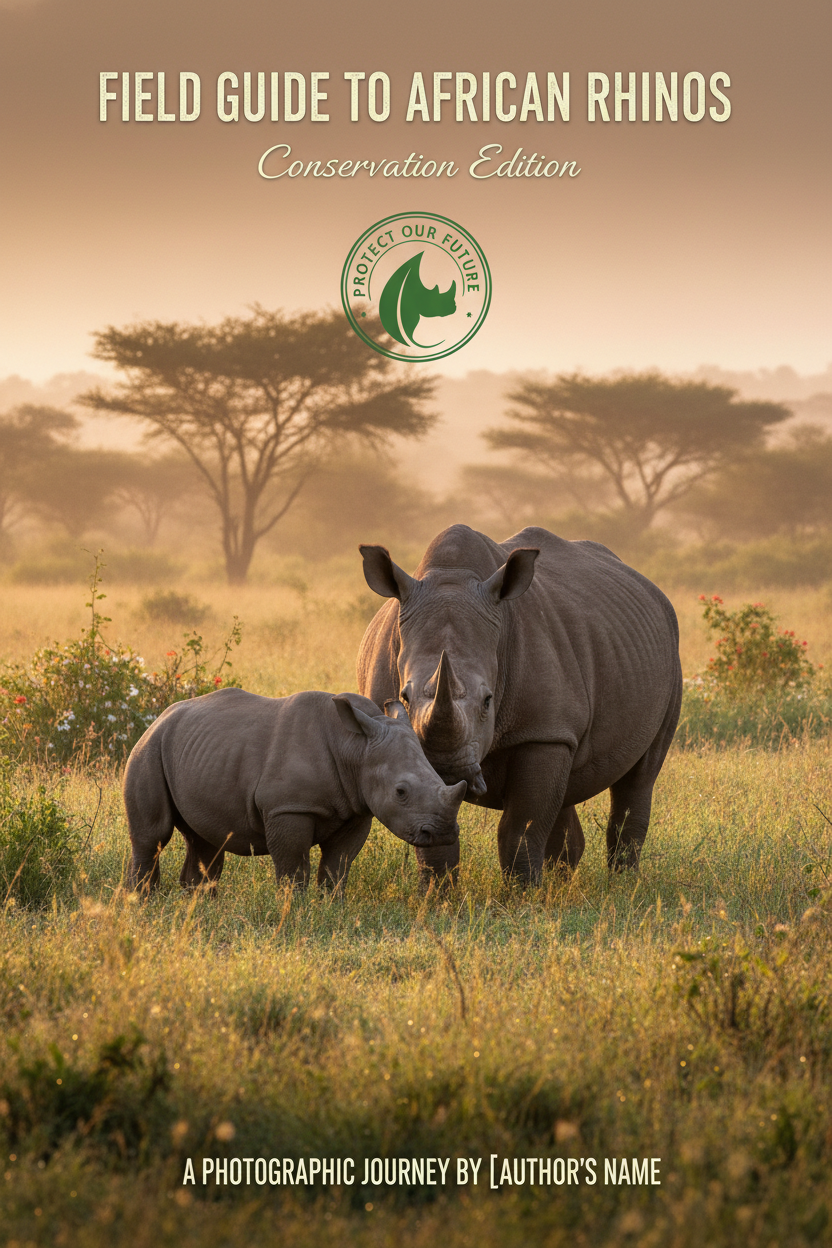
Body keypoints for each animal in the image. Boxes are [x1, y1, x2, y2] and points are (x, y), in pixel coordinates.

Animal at [124, 687, 466, 896]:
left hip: (197, 752)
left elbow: (338, 864)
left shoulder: (357, 809)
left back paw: (199, 903)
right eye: (401, 792)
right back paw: (142, 901)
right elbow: (294, 864)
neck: (355, 746)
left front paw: (331, 905)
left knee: (206, 841)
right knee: (153, 836)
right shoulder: (288, 807)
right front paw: (295, 907)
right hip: (149, 748)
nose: (443, 833)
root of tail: (160, 716)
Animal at [357, 525, 682, 886]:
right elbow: (429, 820)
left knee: (639, 778)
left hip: (670, 653)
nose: (445, 769)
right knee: (567, 791)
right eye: (403, 697)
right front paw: (437, 894)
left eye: (488, 701)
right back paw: (561, 885)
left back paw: (621, 886)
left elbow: (521, 828)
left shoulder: (543, 732)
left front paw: (522, 894)